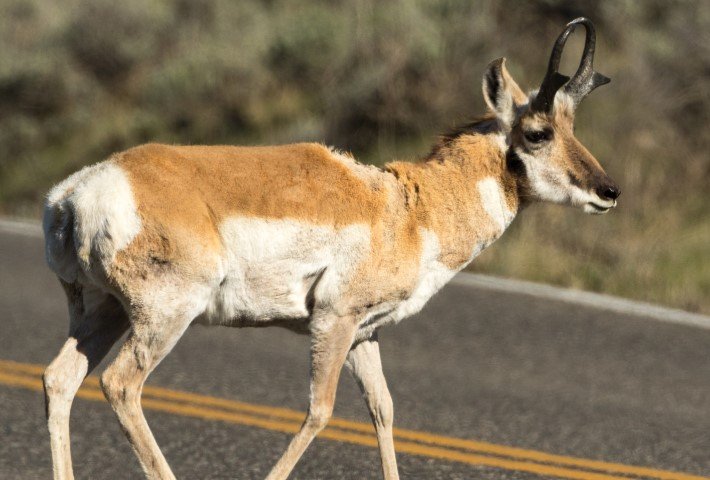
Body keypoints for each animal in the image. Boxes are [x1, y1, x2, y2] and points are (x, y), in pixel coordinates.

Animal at [41, 17, 619, 480]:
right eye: (539, 132)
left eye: (572, 126)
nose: (609, 191)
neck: (408, 209)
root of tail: (77, 193)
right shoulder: (333, 321)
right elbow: (321, 410)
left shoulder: (365, 333)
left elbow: (383, 409)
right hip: (163, 317)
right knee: (120, 385)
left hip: (104, 311)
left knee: (59, 379)